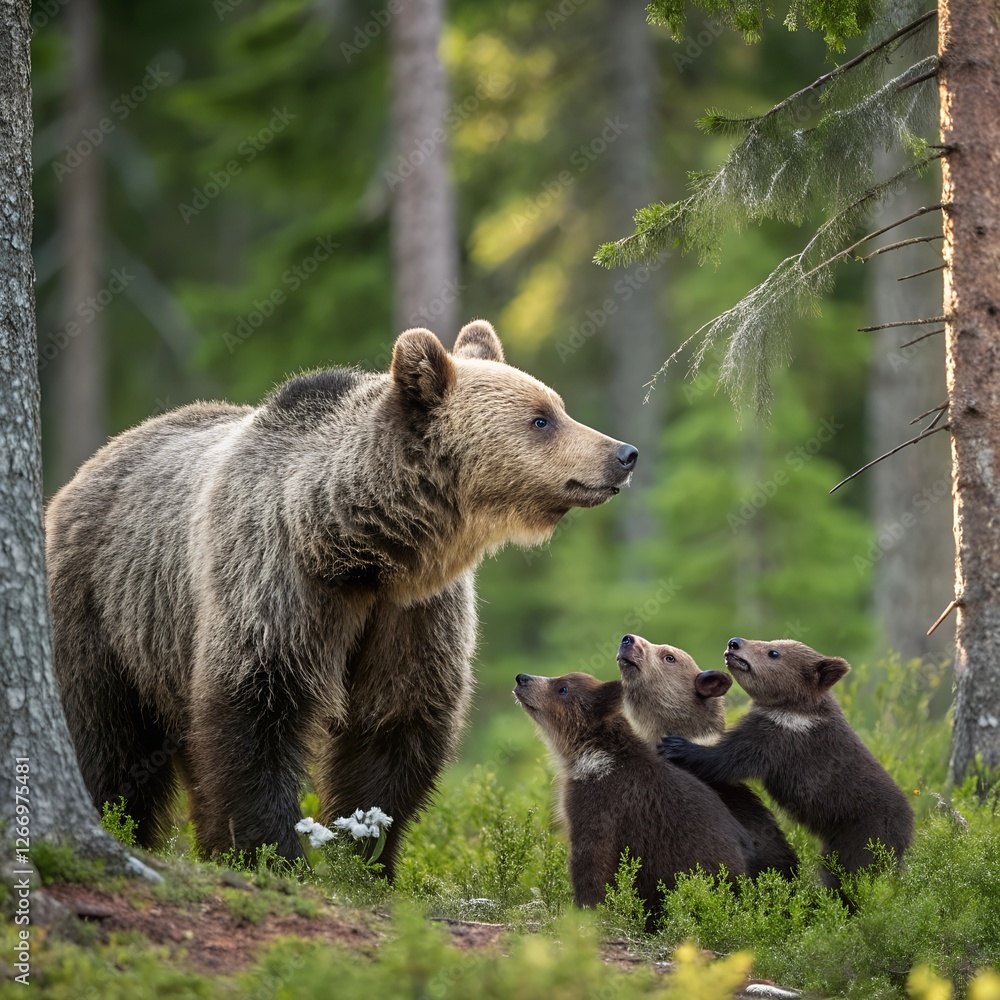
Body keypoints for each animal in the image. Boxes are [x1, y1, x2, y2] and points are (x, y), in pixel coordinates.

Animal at [45, 320, 638, 873]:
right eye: (541, 419)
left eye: (556, 407)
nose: (624, 453)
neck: (359, 548)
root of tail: (94, 463)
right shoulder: (275, 583)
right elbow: (254, 713)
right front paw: (273, 852)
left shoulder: (413, 612)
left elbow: (395, 723)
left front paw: (366, 853)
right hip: (106, 606)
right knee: (108, 737)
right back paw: (119, 822)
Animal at [513, 671, 750, 916]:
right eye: (559, 678)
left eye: (563, 688)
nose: (522, 678)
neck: (591, 756)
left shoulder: (601, 802)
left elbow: (592, 860)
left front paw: (585, 909)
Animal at [659, 637, 915, 887]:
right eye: (770, 642)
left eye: (773, 652)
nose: (734, 642)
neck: (793, 710)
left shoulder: (780, 740)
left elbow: (727, 760)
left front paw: (676, 746)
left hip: (863, 832)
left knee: (849, 871)